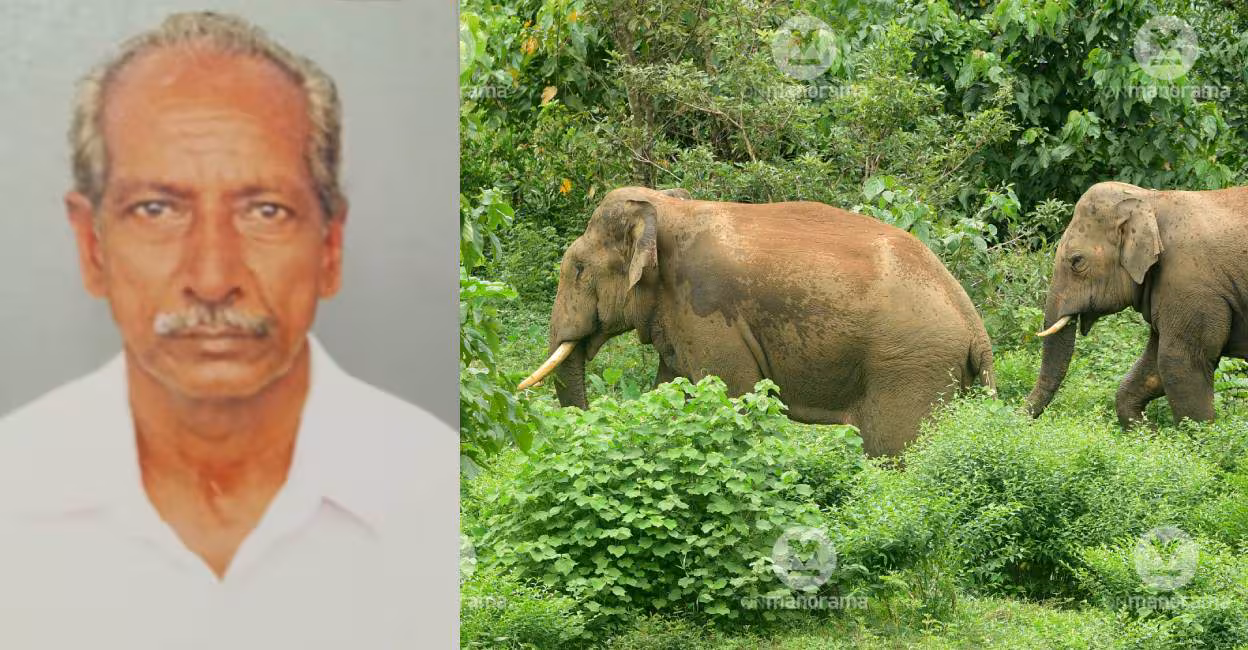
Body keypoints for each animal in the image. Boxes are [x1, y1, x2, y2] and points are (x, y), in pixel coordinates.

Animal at [518, 187, 996, 457]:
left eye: (578, 270)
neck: (669, 208)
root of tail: (976, 327)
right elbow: (675, 391)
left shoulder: (707, 311)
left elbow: (729, 394)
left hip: (909, 366)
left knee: (895, 451)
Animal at [1026, 181, 1248, 427]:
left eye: (1077, 261)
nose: (1019, 415)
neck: (1151, 200)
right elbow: (1154, 369)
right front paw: (1146, 431)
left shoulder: (1191, 287)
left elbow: (1177, 362)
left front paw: (1200, 434)